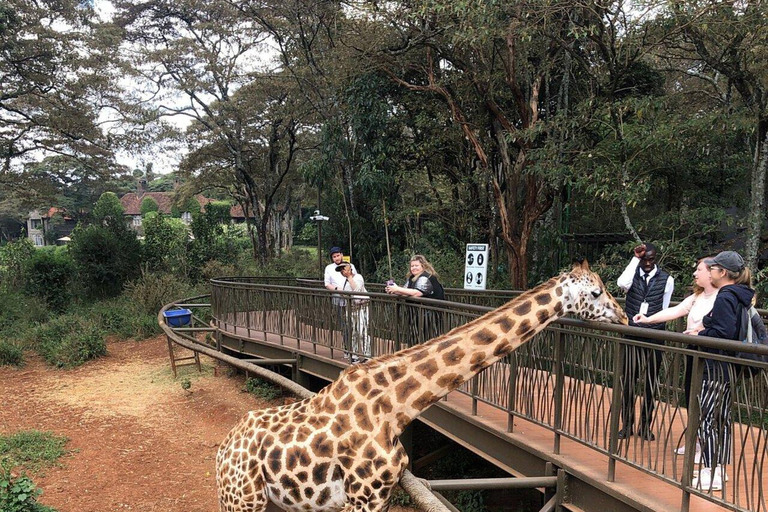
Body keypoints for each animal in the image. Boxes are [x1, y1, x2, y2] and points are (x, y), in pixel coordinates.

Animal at [216, 260, 627, 512]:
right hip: (242, 500)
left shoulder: (380, 496)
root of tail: (222, 451)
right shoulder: (362, 497)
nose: (624, 316)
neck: (396, 406)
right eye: (595, 293)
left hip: (270, 502)